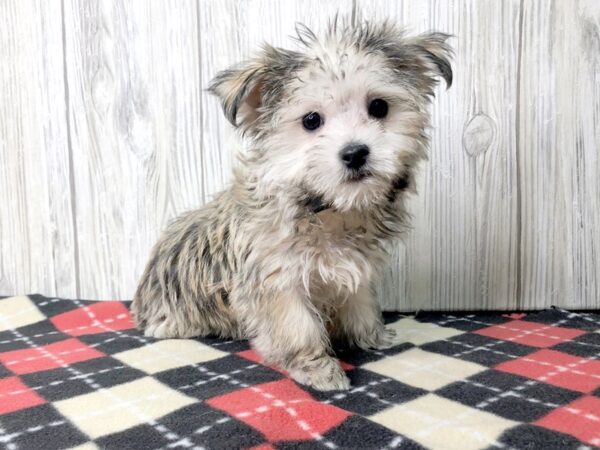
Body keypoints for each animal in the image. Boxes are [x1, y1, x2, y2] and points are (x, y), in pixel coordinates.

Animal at [131, 17, 450, 390]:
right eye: (311, 120)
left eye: (379, 108)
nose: (355, 153)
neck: (327, 210)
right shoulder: (277, 281)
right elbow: (297, 327)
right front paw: (317, 368)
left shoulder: (356, 267)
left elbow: (359, 301)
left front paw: (371, 335)